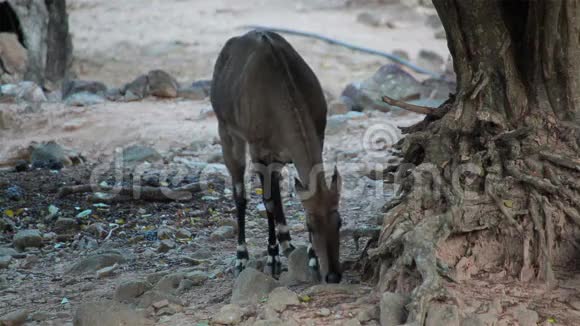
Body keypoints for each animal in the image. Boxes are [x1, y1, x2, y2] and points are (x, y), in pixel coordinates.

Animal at [210, 31, 342, 286]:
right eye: (310, 225)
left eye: (339, 221)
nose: (333, 275)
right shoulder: (259, 151)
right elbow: (267, 200)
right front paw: (273, 261)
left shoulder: (317, 136)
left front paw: (311, 258)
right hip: (227, 132)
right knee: (240, 194)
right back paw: (242, 257)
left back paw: (287, 242)